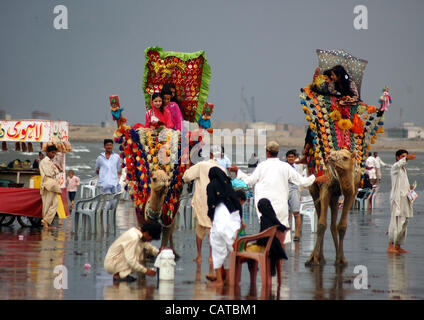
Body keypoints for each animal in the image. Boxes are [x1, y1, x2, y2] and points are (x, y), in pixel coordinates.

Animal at [300, 49, 390, 264]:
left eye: (345, 158)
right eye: (332, 154)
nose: (330, 159)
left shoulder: (351, 191)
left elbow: (342, 225)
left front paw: (341, 260)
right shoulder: (325, 187)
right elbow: (321, 223)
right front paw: (315, 260)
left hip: (335, 194)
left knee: (333, 222)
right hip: (315, 186)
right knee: (320, 214)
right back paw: (316, 257)